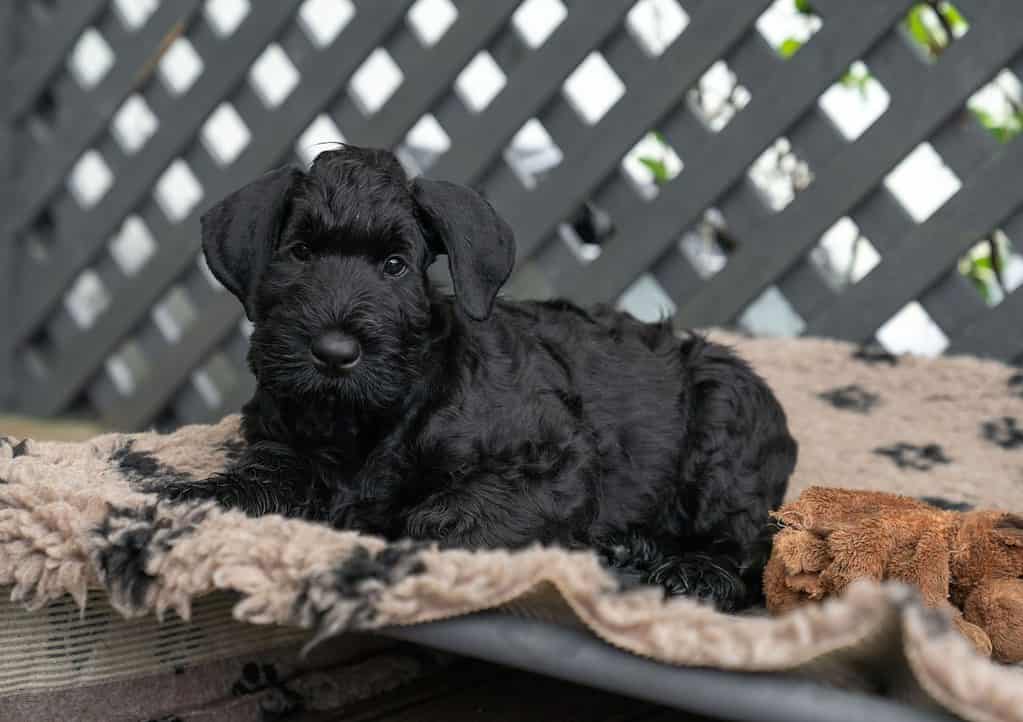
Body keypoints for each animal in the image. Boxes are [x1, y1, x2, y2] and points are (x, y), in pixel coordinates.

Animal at [163, 145, 797, 605]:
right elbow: (262, 480)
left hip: (724, 424)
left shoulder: (553, 464)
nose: (335, 352)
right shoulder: (283, 447)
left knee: (750, 545)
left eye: (395, 265)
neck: (367, 419)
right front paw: (196, 496)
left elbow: (439, 523)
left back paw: (690, 571)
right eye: (298, 253)